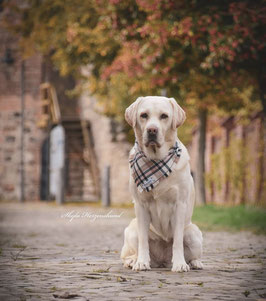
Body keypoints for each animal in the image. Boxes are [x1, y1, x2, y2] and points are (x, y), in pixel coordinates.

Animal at [121, 96, 204, 272]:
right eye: (144, 115)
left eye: (164, 116)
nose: (152, 130)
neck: (156, 161)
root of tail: (162, 261)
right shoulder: (141, 205)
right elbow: (143, 240)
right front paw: (141, 262)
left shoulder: (180, 204)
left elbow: (177, 240)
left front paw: (180, 264)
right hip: (131, 230)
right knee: (129, 252)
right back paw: (133, 261)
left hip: (193, 234)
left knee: (191, 251)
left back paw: (194, 263)